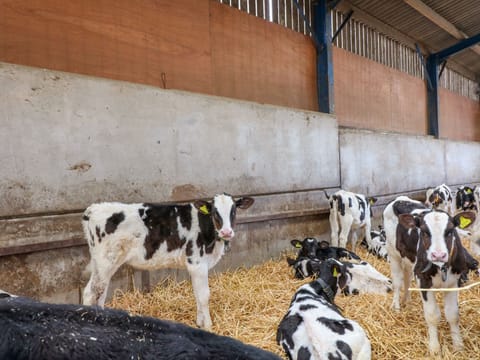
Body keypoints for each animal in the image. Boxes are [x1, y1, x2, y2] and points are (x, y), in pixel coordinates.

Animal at [82, 194, 255, 330]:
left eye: (234, 211)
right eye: (215, 212)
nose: (226, 232)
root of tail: (93, 208)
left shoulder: (195, 267)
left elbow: (197, 294)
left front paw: (199, 323)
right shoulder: (197, 263)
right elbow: (204, 295)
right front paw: (208, 326)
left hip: (101, 264)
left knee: (96, 292)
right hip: (106, 261)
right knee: (93, 292)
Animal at [382, 195, 476, 352]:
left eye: (450, 231)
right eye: (425, 232)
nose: (438, 255)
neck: (440, 267)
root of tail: (400, 199)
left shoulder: (454, 281)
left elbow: (453, 314)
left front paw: (458, 346)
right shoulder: (423, 279)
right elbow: (432, 315)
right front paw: (434, 348)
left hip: (409, 258)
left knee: (407, 276)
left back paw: (407, 300)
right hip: (393, 253)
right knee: (397, 282)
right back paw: (396, 306)